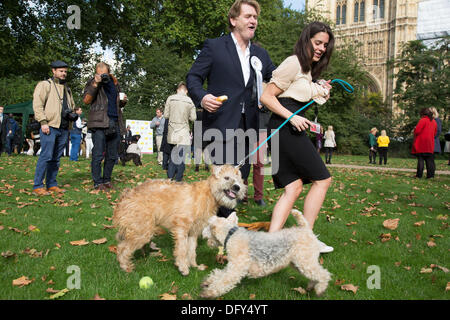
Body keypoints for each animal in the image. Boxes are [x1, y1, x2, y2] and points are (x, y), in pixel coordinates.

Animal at [112, 165, 246, 276]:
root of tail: (126, 195)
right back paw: (125, 267)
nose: (237, 187)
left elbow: (191, 251)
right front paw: (183, 268)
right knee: (122, 248)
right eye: (226, 177)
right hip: (143, 231)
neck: (209, 193)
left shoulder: (193, 232)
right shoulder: (181, 227)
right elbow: (182, 249)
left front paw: (194, 266)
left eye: (239, 179)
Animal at [200, 210, 330, 298]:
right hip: (297, 264)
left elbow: (223, 281)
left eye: (208, 224)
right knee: (315, 276)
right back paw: (311, 286)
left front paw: (208, 292)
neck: (231, 235)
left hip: (305, 262)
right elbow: (220, 274)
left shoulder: (236, 269)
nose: (202, 233)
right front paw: (208, 281)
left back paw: (320, 289)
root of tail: (306, 229)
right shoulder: (232, 266)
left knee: (324, 274)